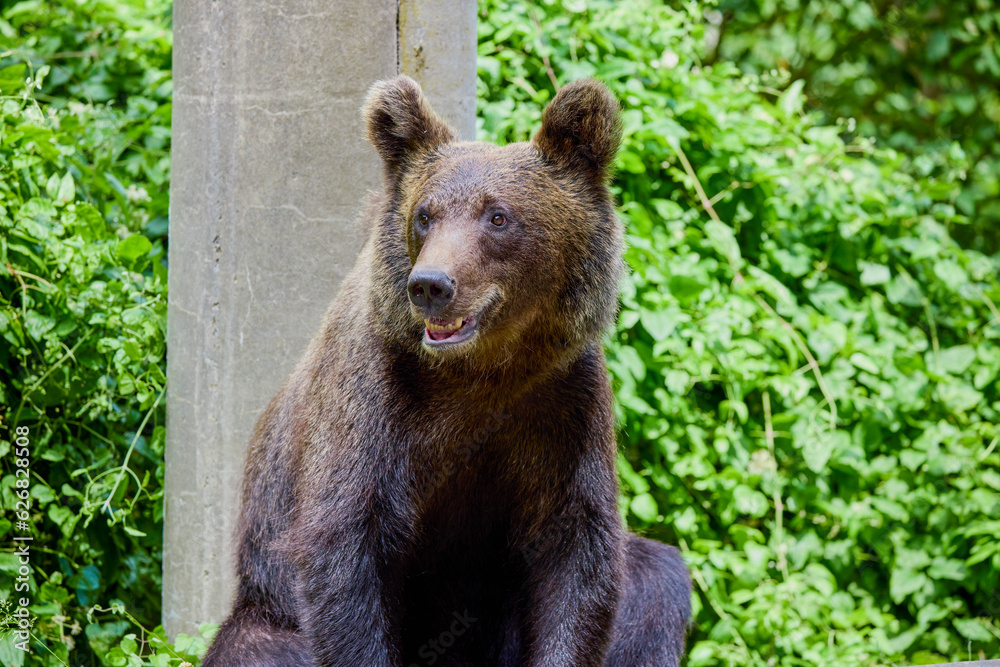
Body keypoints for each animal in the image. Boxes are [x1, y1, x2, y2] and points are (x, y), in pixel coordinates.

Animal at [201, 75, 691, 667]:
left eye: (498, 215)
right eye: (425, 215)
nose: (431, 284)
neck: (480, 371)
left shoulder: (561, 408)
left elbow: (576, 555)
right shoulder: (374, 405)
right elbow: (346, 554)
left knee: (654, 580)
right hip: (268, 608)